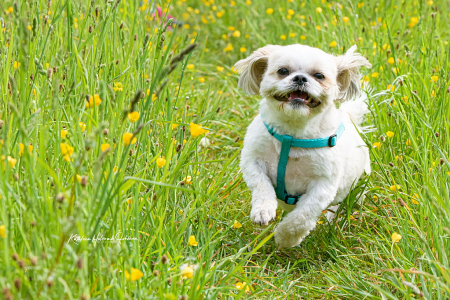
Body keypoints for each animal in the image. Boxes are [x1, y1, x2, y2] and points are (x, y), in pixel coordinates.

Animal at [236, 44, 372, 250]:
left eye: (319, 76)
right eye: (283, 71)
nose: (300, 78)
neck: (292, 136)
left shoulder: (323, 186)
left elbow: (302, 217)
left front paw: (286, 238)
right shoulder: (253, 161)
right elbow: (261, 185)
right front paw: (263, 210)